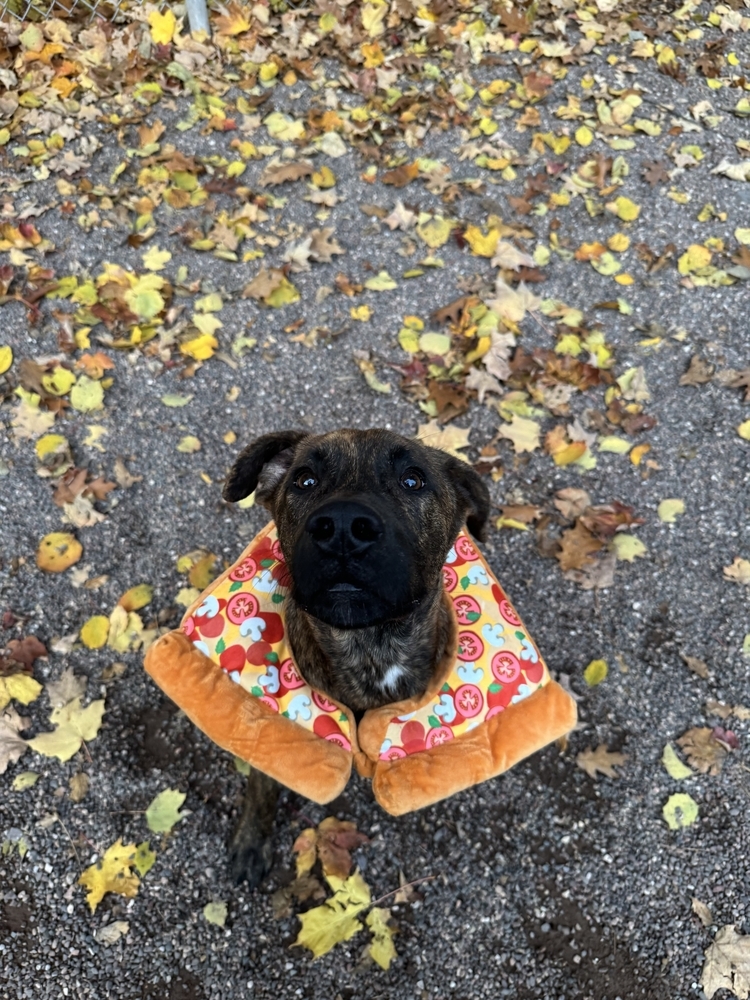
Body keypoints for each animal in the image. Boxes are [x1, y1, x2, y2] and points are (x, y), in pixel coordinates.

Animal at [222, 426, 494, 888]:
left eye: (413, 480)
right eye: (305, 479)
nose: (344, 528)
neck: (371, 646)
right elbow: (263, 782)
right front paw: (250, 841)